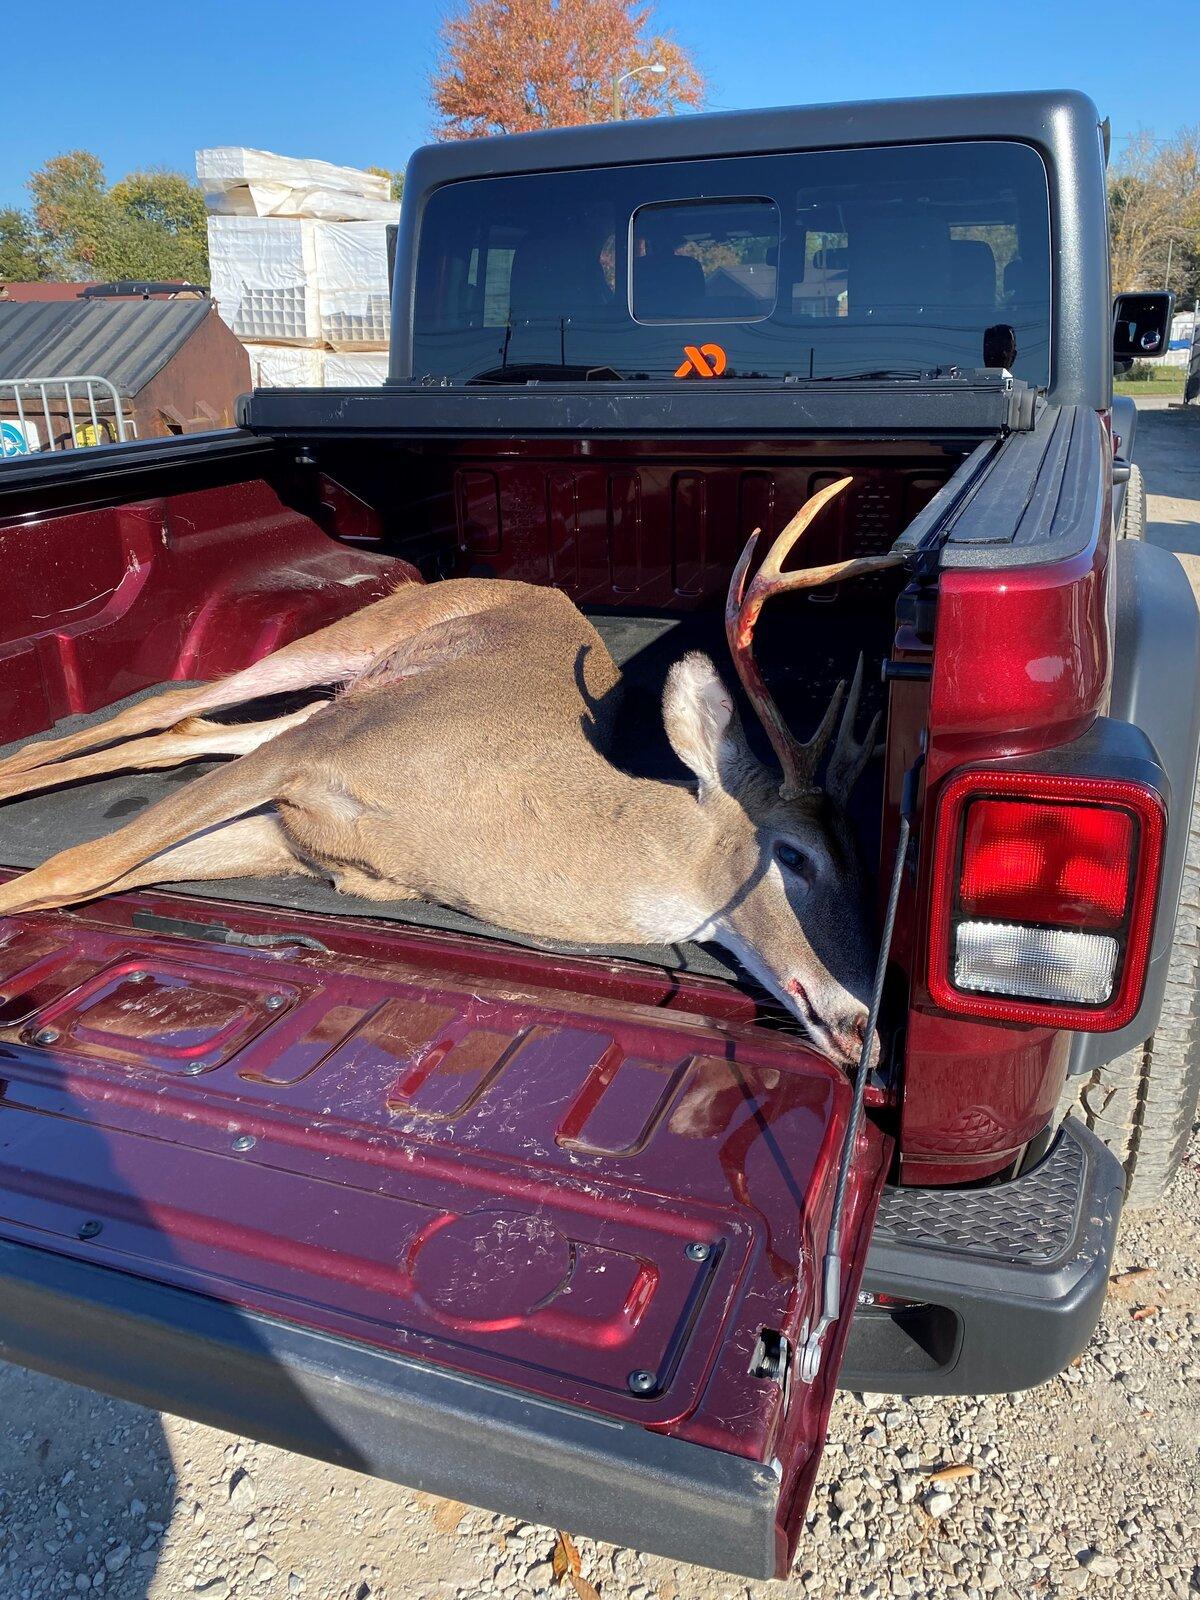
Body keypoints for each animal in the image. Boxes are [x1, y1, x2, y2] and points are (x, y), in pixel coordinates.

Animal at [0, 478, 902, 1069]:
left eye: (869, 869)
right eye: (794, 855)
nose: (868, 1028)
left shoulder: (290, 838)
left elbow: (82, 877)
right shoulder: (315, 755)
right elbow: (71, 865)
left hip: (339, 696)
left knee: (183, 728)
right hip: (353, 648)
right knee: (170, 701)